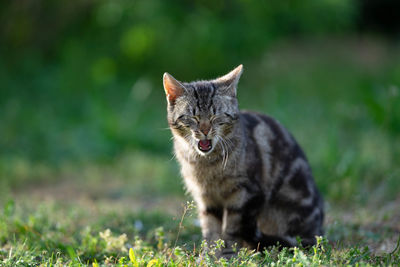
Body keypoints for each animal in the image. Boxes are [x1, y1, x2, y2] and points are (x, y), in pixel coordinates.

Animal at [164, 65, 324, 258]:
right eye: (193, 117)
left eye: (215, 116)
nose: (205, 130)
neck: (208, 164)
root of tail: (318, 231)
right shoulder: (206, 198)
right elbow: (211, 229)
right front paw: (210, 255)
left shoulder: (245, 194)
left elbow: (232, 229)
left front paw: (228, 254)